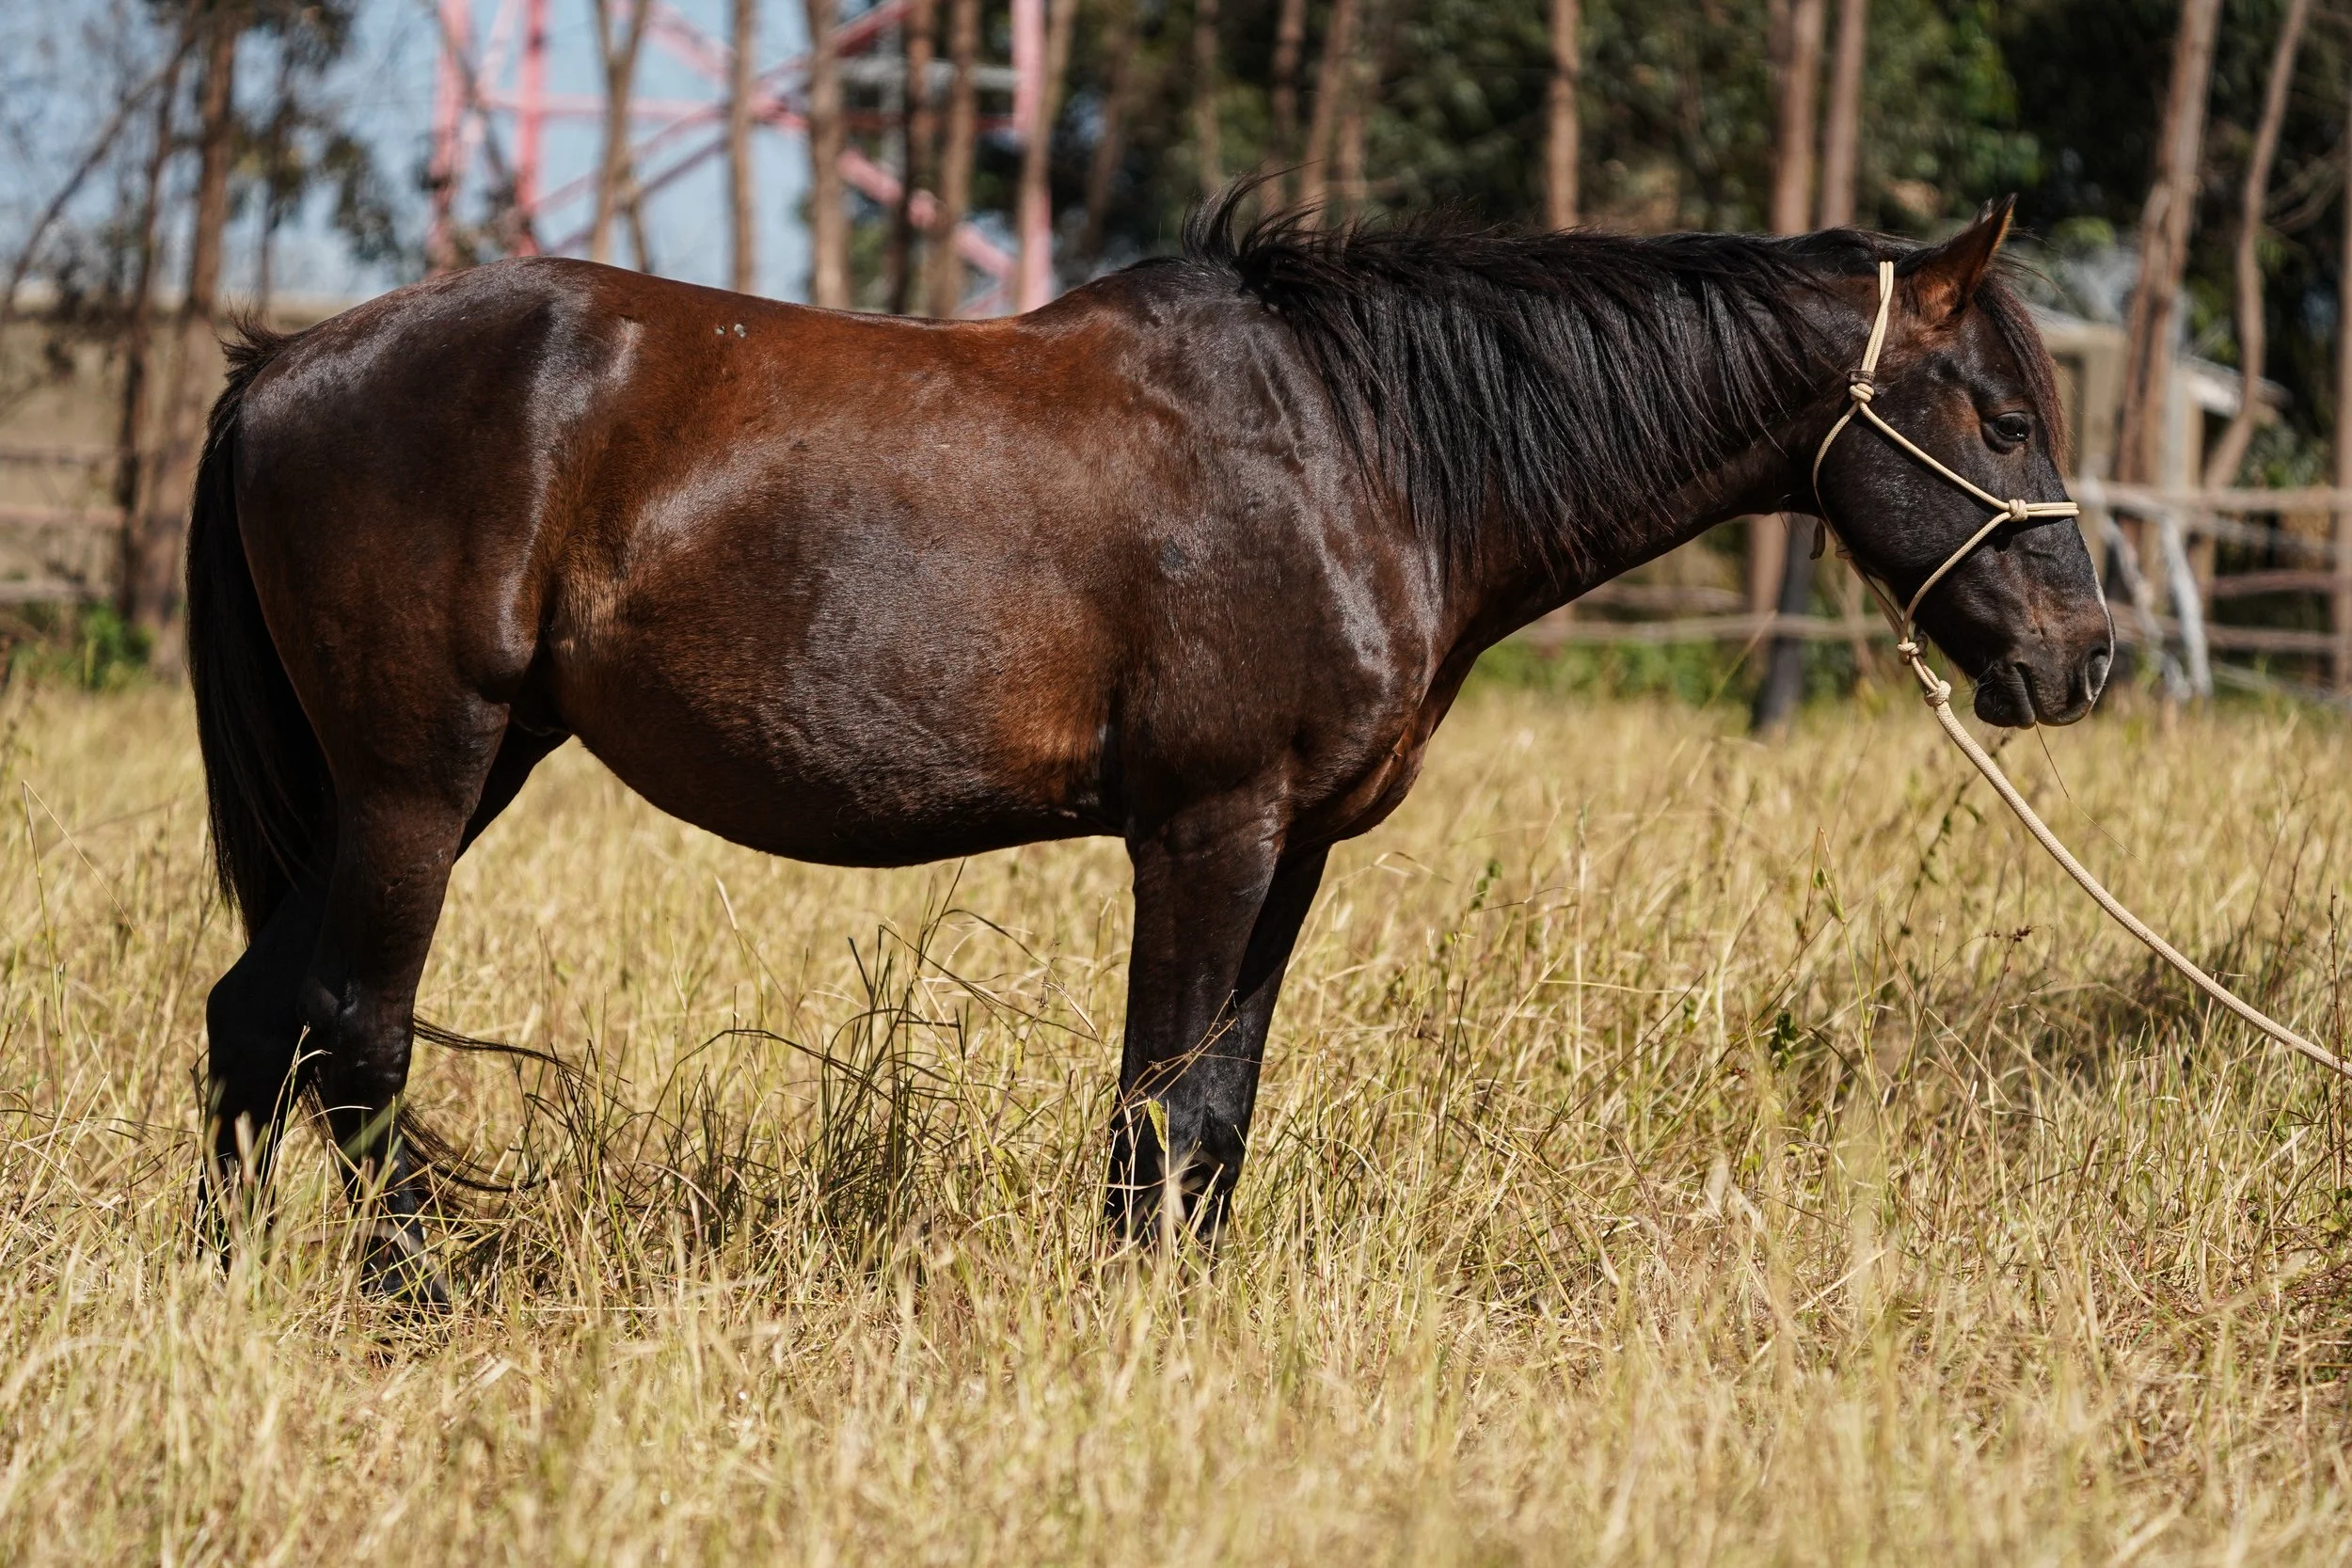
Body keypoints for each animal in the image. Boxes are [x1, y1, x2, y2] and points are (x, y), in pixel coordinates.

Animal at [186, 191, 2111, 1297]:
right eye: (2001, 416)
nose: (2080, 661)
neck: (1360, 448)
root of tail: (283, 363)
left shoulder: (1296, 848)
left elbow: (1218, 1109)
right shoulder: (1207, 827)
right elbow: (1157, 1101)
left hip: (433, 778)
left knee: (254, 1018)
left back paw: (221, 1287)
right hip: (419, 779)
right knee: (351, 1031)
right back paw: (425, 1293)